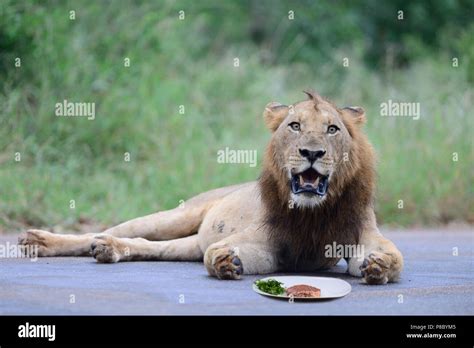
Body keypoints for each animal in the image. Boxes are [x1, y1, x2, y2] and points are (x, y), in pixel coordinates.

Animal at [19, 90, 404, 286]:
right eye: (295, 125)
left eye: (332, 129)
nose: (312, 153)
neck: (313, 212)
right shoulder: (267, 241)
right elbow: (220, 253)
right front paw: (223, 261)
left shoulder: (357, 233)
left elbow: (392, 256)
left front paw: (380, 265)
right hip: (177, 215)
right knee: (107, 231)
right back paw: (39, 241)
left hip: (184, 243)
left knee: (147, 245)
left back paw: (109, 250)